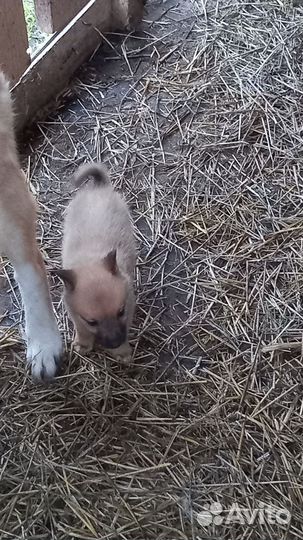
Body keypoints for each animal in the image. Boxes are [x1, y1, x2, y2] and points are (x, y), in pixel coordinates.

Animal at [56, 162, 137, 360]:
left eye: (120, 312)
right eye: (92, 322)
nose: (114, 343)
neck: (89, 262)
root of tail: (97, 188)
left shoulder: (129, 305)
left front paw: (121, 351)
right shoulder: (75, 314)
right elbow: (81, 329)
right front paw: (83, 344)